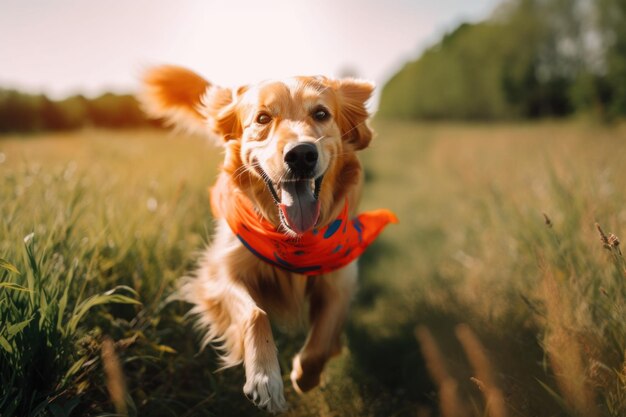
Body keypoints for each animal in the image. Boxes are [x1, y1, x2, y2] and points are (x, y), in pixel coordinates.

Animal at [141, 66, 394, 412]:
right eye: (262, 118)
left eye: (321, 113)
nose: (301, 155)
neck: (292, 241)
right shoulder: (221, 271)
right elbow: (255, 314)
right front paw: (265, 378)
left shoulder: (340, 278)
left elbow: (322, 339)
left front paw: (305, 376)